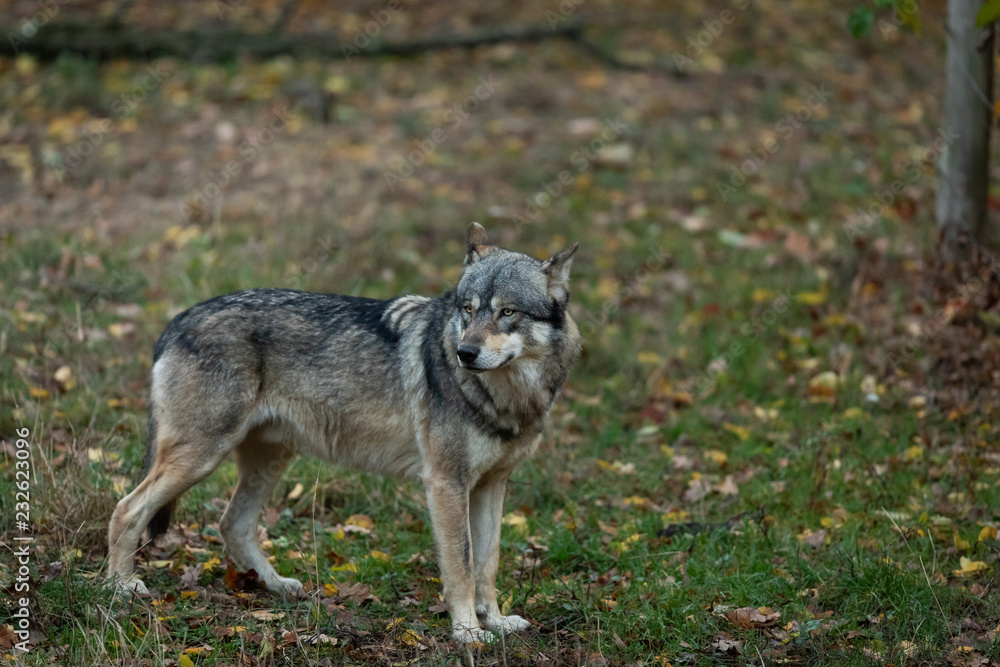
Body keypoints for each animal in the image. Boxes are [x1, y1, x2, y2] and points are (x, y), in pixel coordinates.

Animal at [107, 223, 581, 643]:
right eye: (468, 309)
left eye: (507, 312)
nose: (465, 352)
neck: (505, 398)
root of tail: (179, 318)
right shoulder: (447, 483)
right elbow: (461, 566)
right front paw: (467, 632)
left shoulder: (492, 486)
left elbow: (488, 563)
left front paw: (495, 623)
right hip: (202, 457)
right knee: (127, 508)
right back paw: (119, 588)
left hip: (270, 459)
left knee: (232, 525)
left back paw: (276, 586)